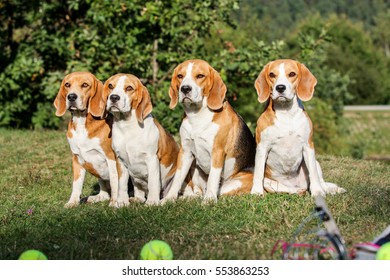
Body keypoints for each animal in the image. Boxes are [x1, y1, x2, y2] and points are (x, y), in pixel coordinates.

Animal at [52, 72, 119, 208]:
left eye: (85, 85)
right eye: (67, 85)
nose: (71, 97)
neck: (81, 121)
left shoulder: (111, 157)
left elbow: (115, 181)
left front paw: (115, 203)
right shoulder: (76, 158)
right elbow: (76, 184)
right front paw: (72, 202)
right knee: (104, 194)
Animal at [99, 73, 181, 207]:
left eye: (129, 88)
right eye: (110, 86)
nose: (114, 97)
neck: (127, 127)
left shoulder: (151, 159)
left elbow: (153, 183)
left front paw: (152, 202)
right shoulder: (120, 160)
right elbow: (121, 185)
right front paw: (121, 202)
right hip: (136, 179)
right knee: (139, 192)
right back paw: (136, 199)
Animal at [161, 59, 256, 203]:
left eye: (200, 76)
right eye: (180, 76)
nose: (185, 89)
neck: (197, 116)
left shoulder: (217, 151)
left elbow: (213, 177)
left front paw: (209, 200)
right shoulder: (185, 152)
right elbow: (177, 178)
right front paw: (168, 199)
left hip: (235, 183)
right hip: (194, 167)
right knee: (198, 191)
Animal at [250, 58, 344, 197]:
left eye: (292, 74)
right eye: (272, 74)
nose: (280, 87)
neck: (286, 113)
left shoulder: (308, 146)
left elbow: (314, 175)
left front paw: (317, 192)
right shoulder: (262, 147)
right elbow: (258, 172)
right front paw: (256, 191)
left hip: (316, 162)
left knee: (320, 180)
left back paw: (329, 189)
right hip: (271, 183)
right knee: (289, 190)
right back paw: (298, 191)